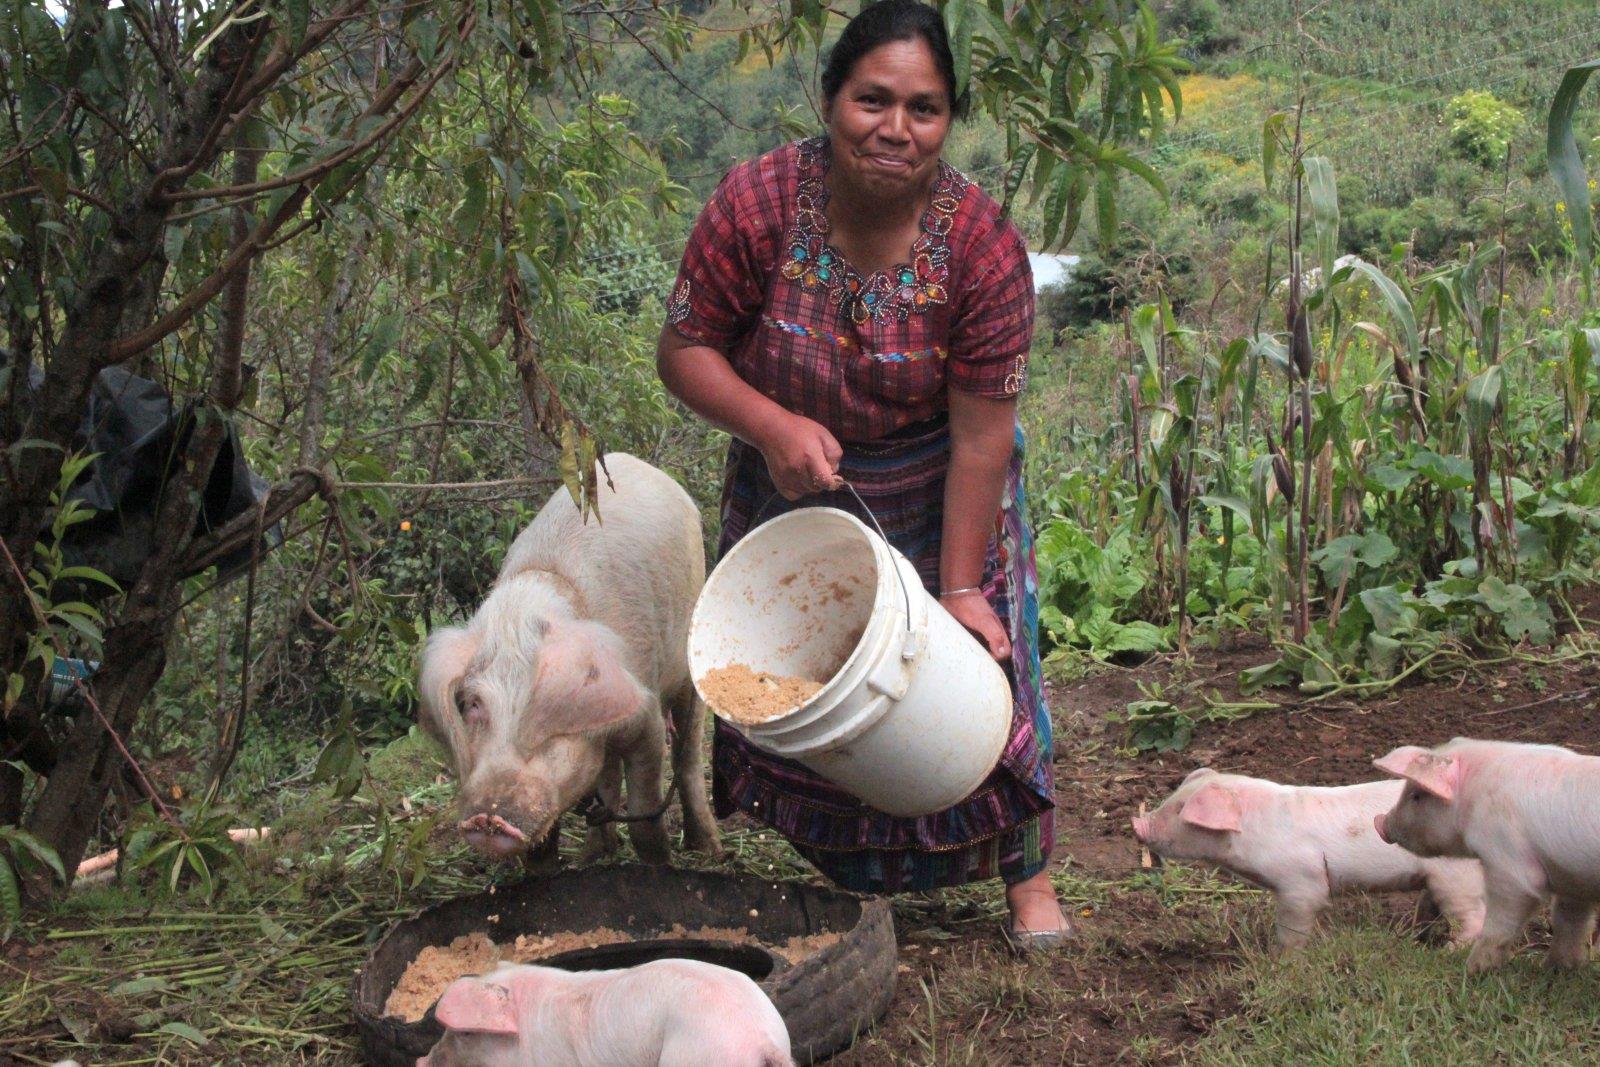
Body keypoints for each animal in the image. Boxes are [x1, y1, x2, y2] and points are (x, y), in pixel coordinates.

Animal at [416, 454, 716, 863]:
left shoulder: (646, 718)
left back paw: (709, 848)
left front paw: (660, 863)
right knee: (608, 777)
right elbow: (544, 847)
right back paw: (595, 854)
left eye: (542, 707)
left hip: (688, 660)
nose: (487, 819)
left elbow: (645, 819)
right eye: (472, 703)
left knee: (687, 756)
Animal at [1126, 767, 1484, 953]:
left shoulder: (1301, 880)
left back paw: (1449, 950)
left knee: (1474, 917)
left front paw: (1280, 960)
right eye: (1172, 798)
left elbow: (1294, 921)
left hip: (1455, 875)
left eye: (1180, 810)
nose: (1136, 823)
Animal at [1376, 739, 1600, 972]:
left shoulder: (1507, 860)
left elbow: (1500, 922)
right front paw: (1555, 969)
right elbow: (1570, 921)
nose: (1380, 823)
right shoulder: (1573, 878)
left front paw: (1472, 970)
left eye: (1416, 796)